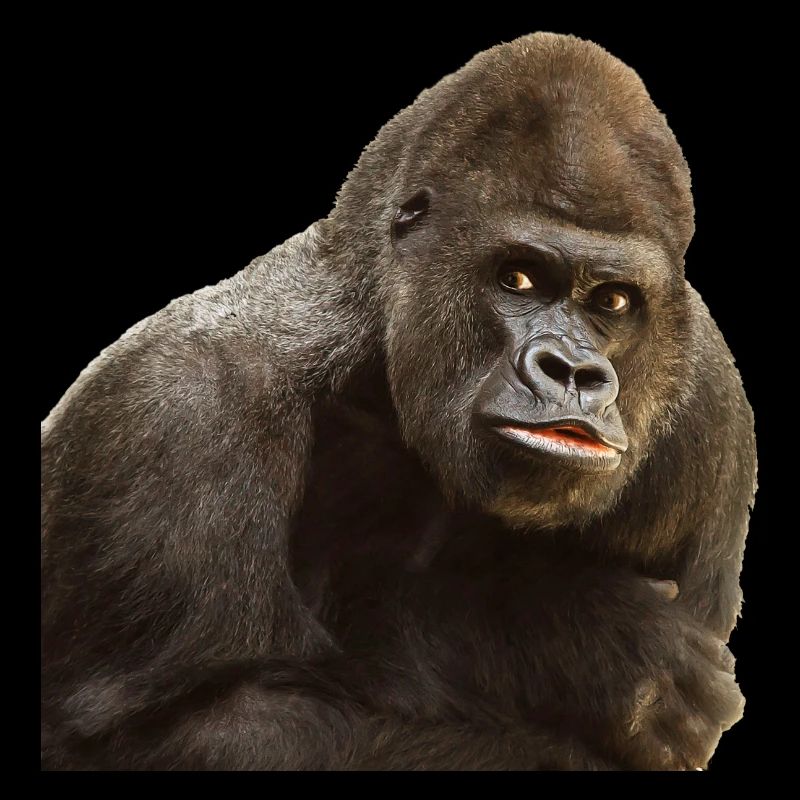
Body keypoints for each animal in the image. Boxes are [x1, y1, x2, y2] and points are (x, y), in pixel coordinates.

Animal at [41, 32, 756, 770]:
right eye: (518, 278)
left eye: (613, 301)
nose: (573, 372)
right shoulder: (178, 408)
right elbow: (175, 729)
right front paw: (570, 638)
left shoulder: (710, 411)